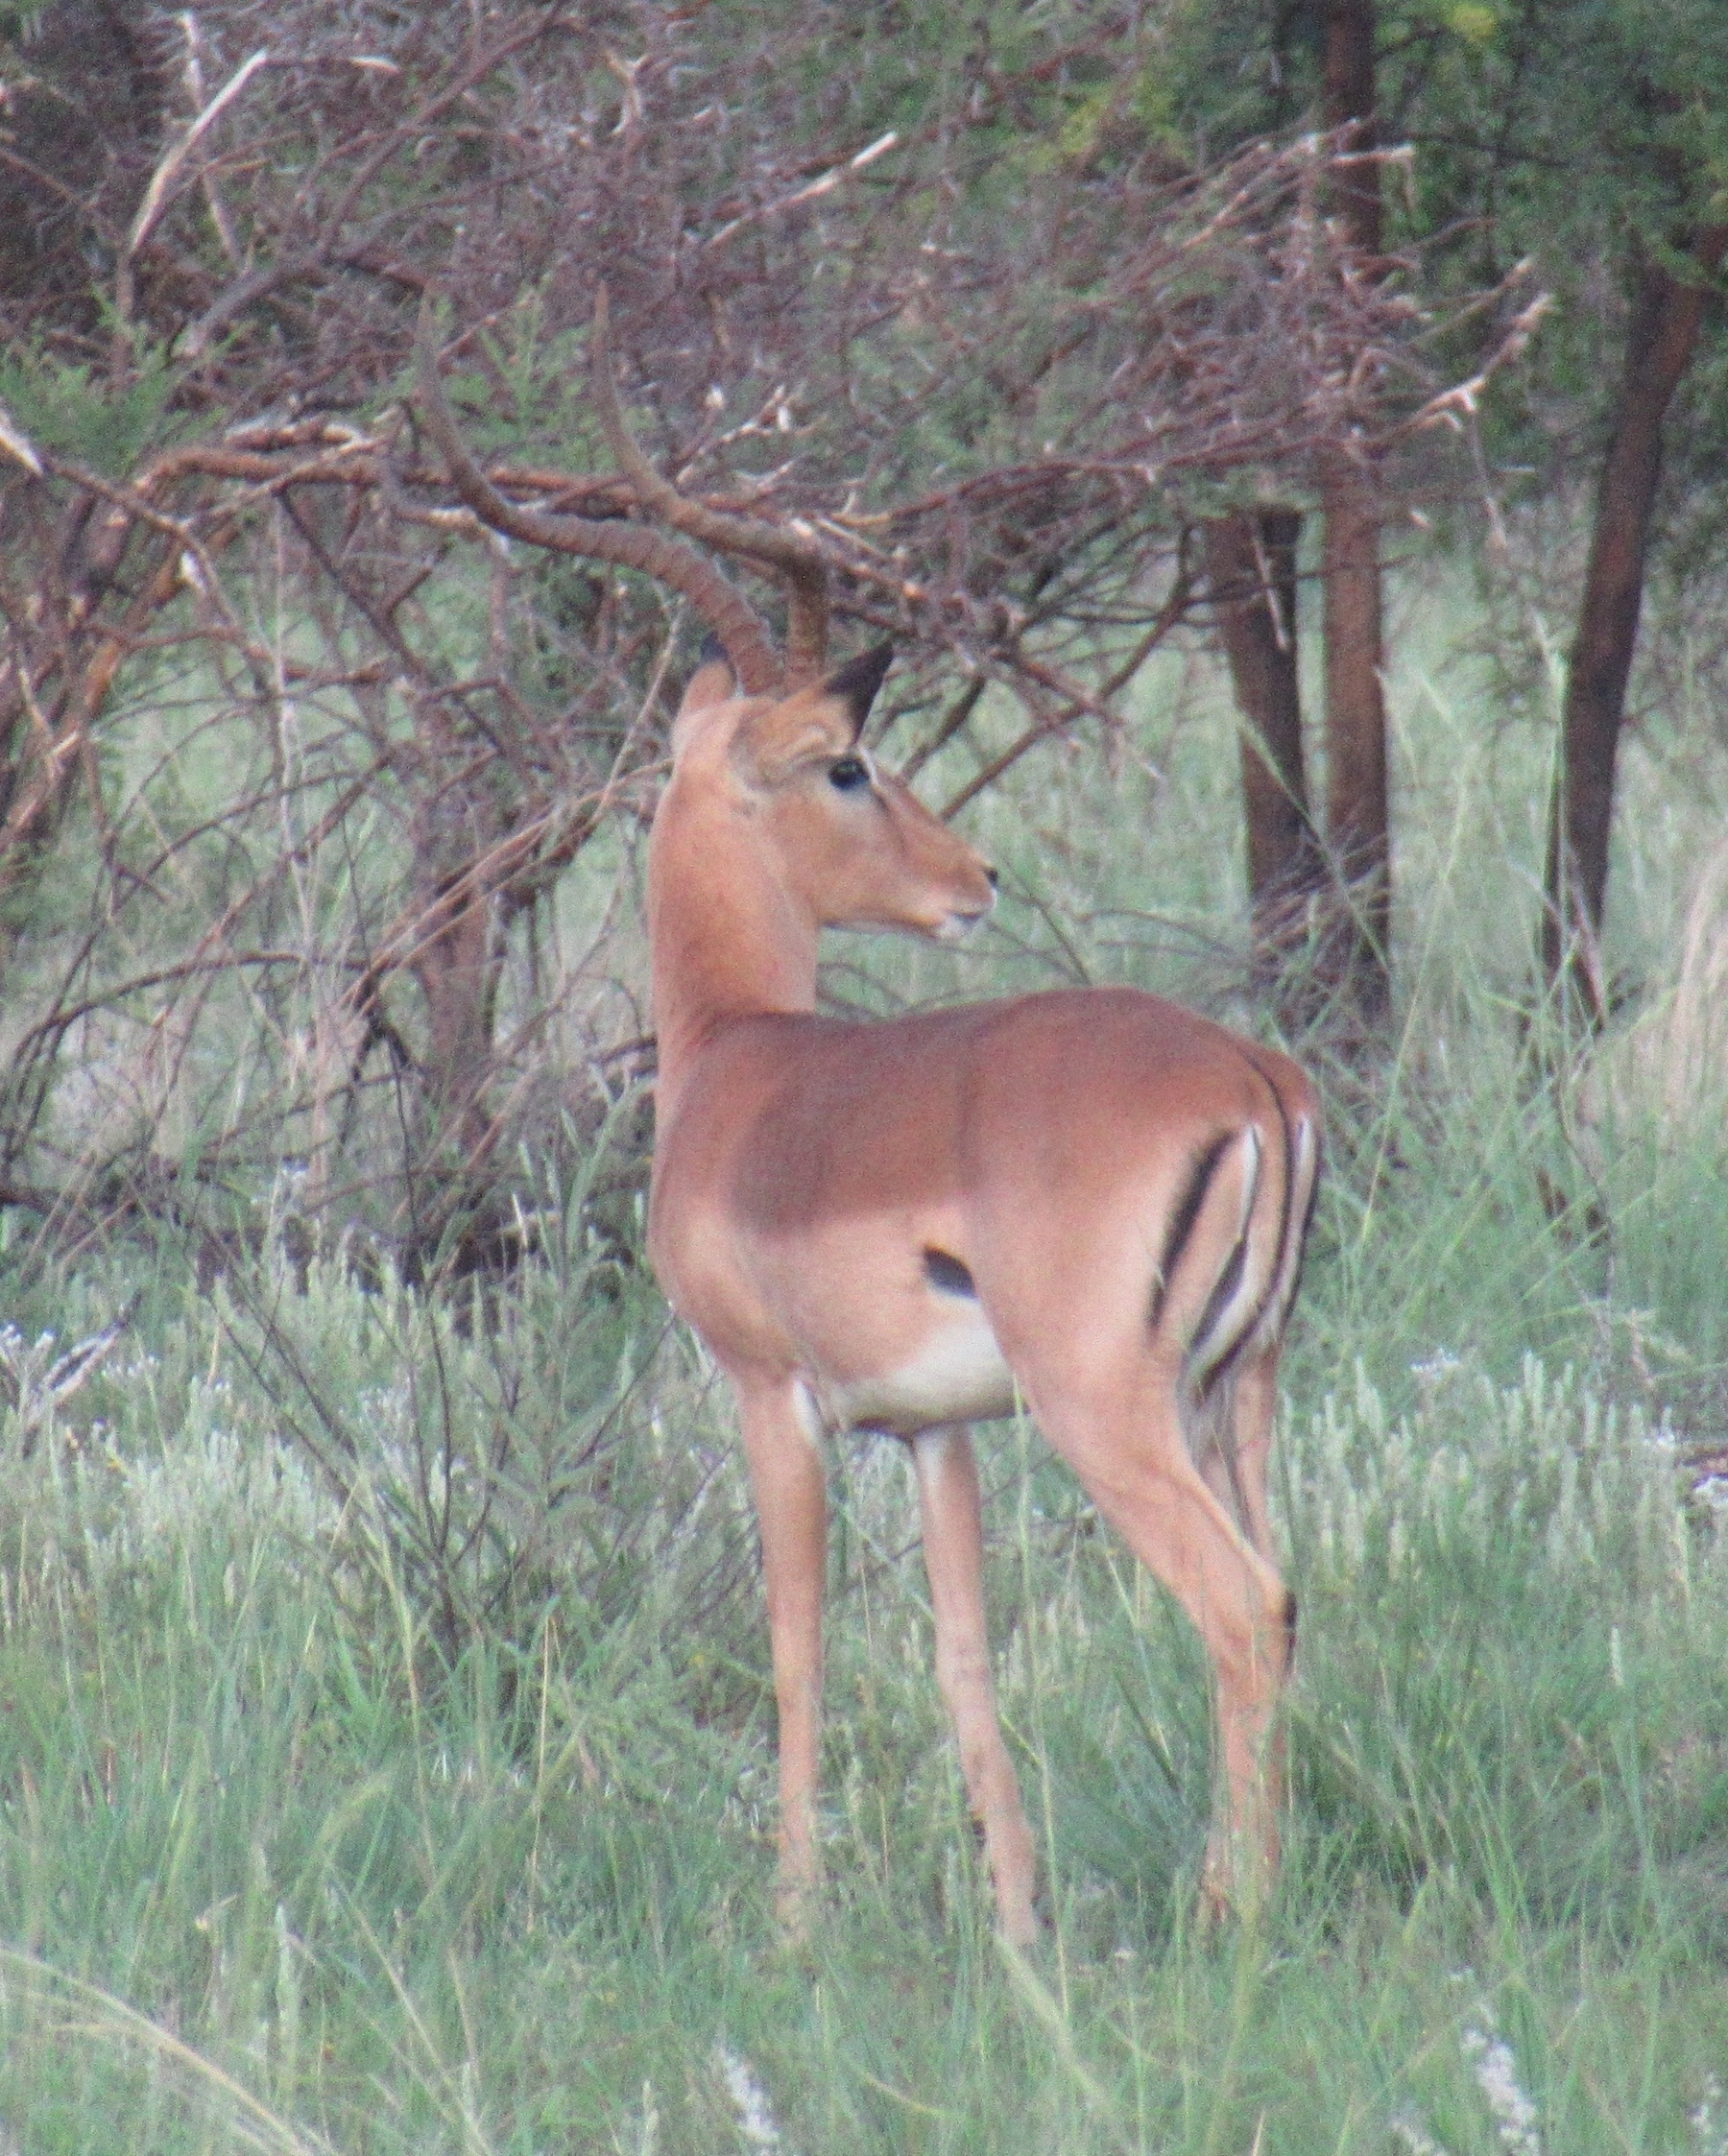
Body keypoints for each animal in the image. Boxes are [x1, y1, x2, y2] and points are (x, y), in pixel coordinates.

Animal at [417, 295, 1322, 1944]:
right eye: (847, 765)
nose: (976, 881)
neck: (736, 1063)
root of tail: (1254, 1079)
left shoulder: (773, 1396)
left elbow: (797, 1645)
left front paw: (791, 1920)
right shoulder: (932, 1433)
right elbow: (965, 1657)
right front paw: (1017, 1921)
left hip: (1110, 1407)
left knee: (1240, 1604)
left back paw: (1236, 1914)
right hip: (1240, 1392)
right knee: (1287, 1592)